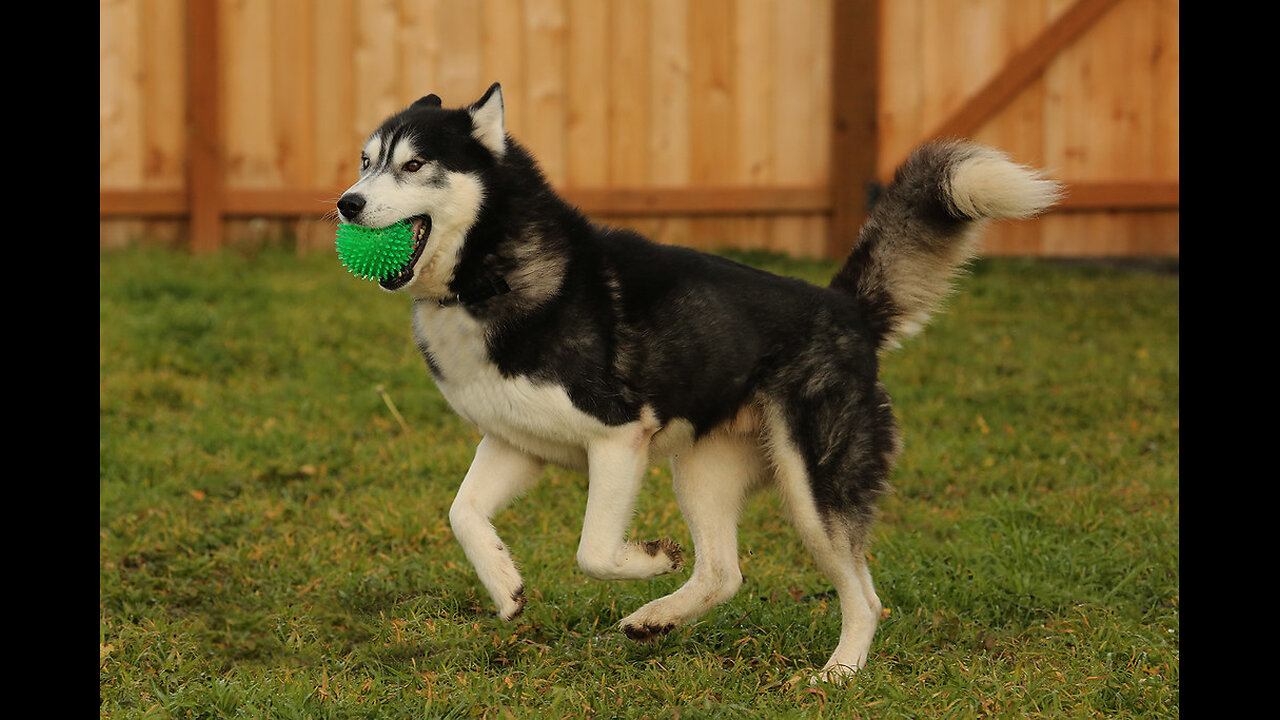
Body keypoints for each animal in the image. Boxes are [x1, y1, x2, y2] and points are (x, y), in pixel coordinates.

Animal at [337, 83, 1059, 676]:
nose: (346, 203)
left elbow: (593, 550)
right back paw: (654, 620)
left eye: (413, 165)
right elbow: (461, 514)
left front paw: (650, 559)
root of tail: (846, 307)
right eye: (365, 161)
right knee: (725, 573)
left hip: (812, 488)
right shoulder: (517, 443)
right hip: (702, 471)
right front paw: (506, 586)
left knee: (864, 594)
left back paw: (839, 672)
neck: (488, 277)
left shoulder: (619, 437)